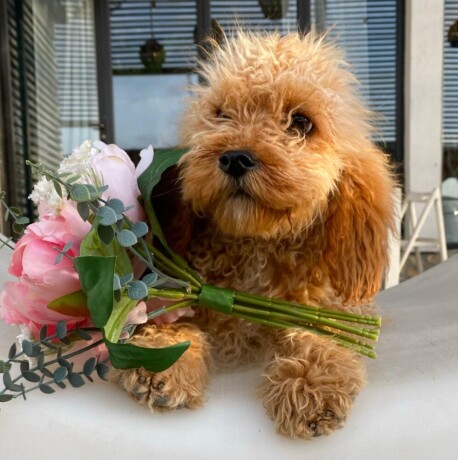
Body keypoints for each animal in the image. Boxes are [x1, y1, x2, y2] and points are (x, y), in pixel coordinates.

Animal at [112, 30, 396, 440]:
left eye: (300, 122)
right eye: (221, 114)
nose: (235, 157)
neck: (258, 248)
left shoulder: (334, 306)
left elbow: (323, 332)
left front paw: (310, 384)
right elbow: (173, 316)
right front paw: (163, 355)